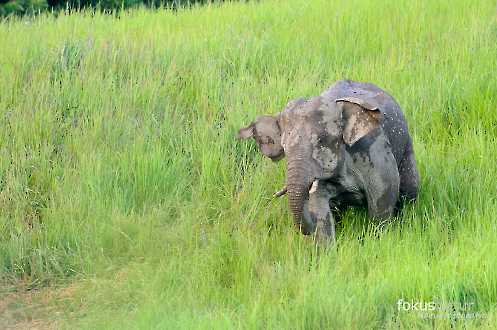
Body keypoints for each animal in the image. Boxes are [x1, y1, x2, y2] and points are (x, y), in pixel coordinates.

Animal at [236, 79, 418, 244]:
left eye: (321, 141)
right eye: (285, 147)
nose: (307, 232)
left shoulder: (373, 149)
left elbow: (384, 195)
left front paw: (377, 241)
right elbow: (318, 204)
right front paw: (326, 253)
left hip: (407, 148)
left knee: (410, 189)